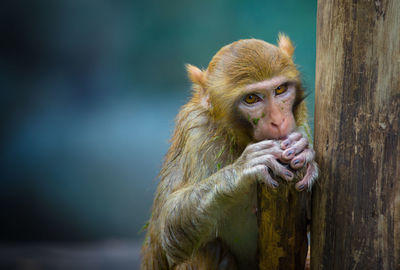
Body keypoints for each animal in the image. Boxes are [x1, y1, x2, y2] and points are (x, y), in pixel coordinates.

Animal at [141, 34, 318, 268]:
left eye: (280, 90)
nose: (279, 121)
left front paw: (305, 153)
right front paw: (244, 168)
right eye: (251, 98)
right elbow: (168, 233)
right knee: (207, 249)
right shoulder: (197, 132)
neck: (240, 139)